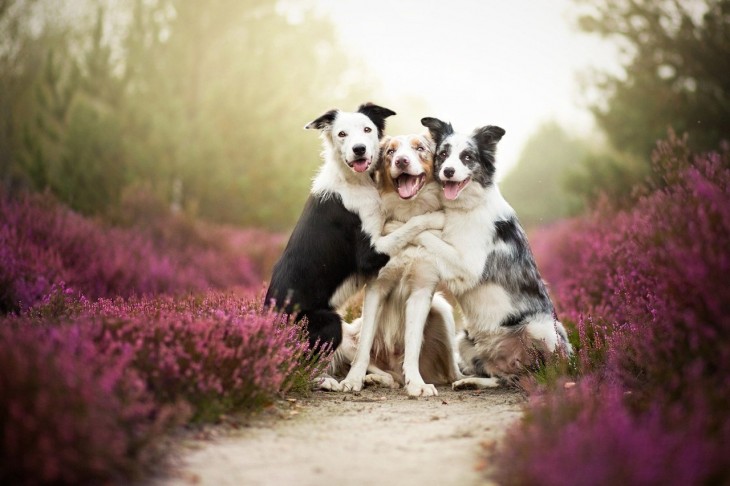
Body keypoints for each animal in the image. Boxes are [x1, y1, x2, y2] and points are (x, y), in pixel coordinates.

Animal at [264, 103, 440, 392]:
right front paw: (434, 218)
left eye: (367, 129)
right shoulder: (369, 253)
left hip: (343, 330)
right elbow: (410, 224)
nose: (359, 149)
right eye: (342, 134)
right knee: (300, 367)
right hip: (329, 322)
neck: (354, 181)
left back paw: (379, 377)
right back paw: (325, 381)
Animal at [406, 117, 572, 388]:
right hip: (464, 340)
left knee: (542, 373)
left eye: (467, 157)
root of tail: (513, 363)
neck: (465, 208)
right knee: (500, 378)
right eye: (443, 154)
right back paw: (471, 382)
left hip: (541, 328)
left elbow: (430, 236)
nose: (448, 171)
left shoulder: (468, 265)